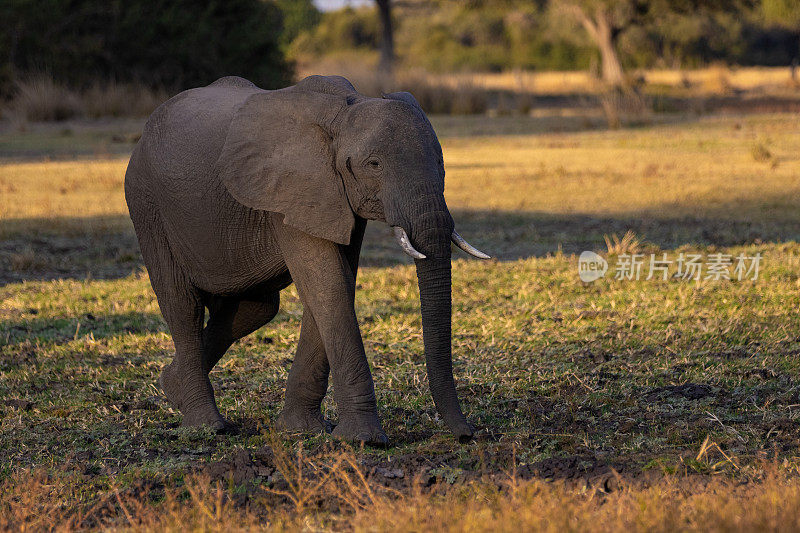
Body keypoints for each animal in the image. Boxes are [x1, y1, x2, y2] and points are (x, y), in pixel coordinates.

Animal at [124, 72, 488, 442]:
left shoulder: (336, 196)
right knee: (183, 305)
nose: (467, 435)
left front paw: (301, 431)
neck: (343, 112)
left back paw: (173, 388)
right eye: (373, 164)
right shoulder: (292, 189)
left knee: (255, 309)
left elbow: (335, 285)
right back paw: (207, 426)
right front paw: (364, 440)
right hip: (146, 202)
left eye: (440, 161)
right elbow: (328, 286)